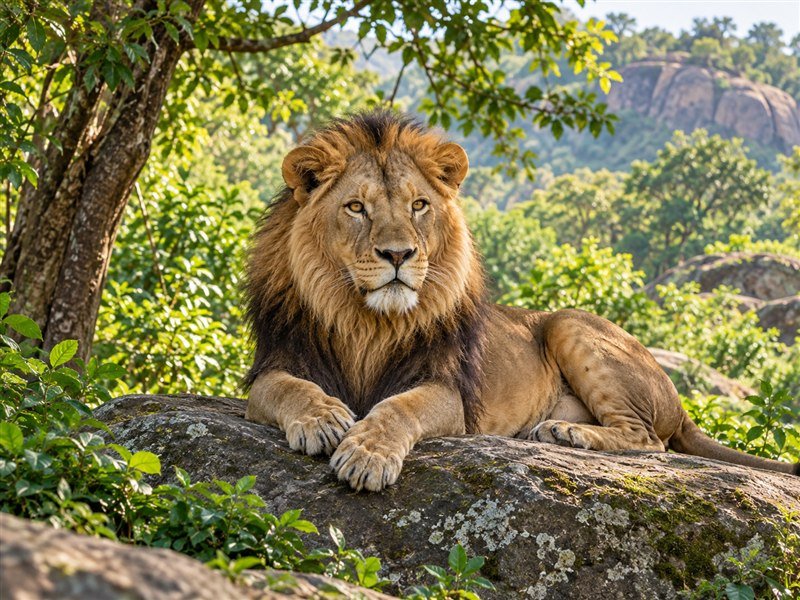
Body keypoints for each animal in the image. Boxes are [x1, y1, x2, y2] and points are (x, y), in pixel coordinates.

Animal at [244, 111, 798, 491]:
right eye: (356, 207)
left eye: (418, 205)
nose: (399, 254)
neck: (366, 321)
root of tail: (678, 401)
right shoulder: (274, 364)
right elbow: (290, 389)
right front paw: (323, 420)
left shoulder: (447, 391)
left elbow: (397, 409)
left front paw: (367, 454)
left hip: (569, 324)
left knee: (649, 440)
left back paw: (566, 434)